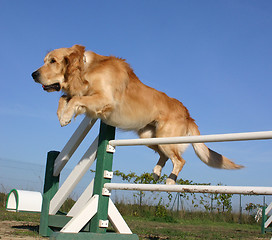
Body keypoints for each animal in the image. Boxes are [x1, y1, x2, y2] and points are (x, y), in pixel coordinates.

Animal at [31, 44, 242, 184]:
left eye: (53, 61)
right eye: (44, 61)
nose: (33, 75)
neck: (87, 69)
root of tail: (187, 113)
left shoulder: (104, 99)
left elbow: (74, 99)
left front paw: (66, 116)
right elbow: (64, 98)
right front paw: (62, 114)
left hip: (166, 138)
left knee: (179, 160)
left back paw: (170, 180)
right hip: (149, 137)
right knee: (164, 156)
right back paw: (156, 173)